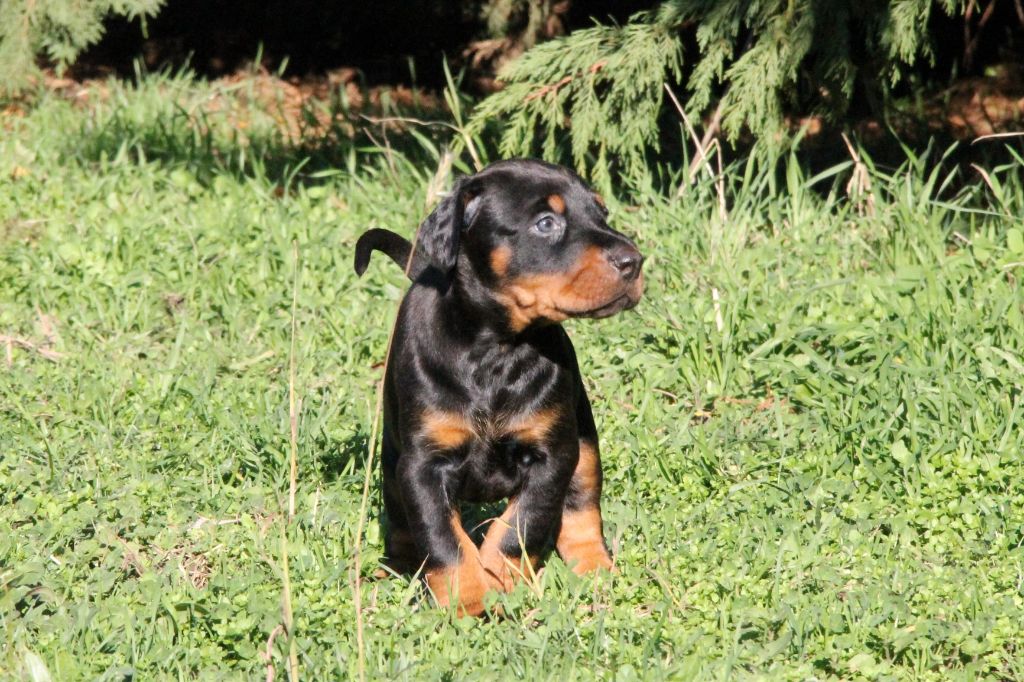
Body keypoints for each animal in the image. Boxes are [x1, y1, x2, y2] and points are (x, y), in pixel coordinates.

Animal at [354, 159, 643, 616]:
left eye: (602, 214)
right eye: (546, 223)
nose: (634, 261)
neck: (496, 351)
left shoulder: (552, 456)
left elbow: (519, 526)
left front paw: (498, 579)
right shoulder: (422, 465)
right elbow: (443, 538)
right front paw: (467, 600)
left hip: (584, 442)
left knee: (582, 508)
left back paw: (595, 568)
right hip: (393, 461)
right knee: (401, 523)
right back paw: (395, 569)